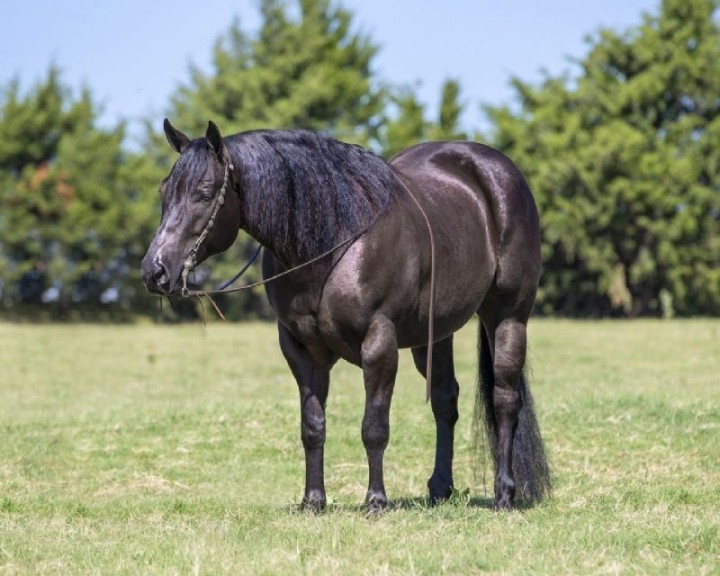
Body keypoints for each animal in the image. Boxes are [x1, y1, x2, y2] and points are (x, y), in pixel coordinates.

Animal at [141, 119, 551, 512]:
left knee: (504, 400)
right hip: (433, 335)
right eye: (164, 191)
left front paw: (376, 501)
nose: (154, 271)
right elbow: (312, 426)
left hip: (507, 317)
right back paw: (439, 489)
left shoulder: (379, 345)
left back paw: (504, 495)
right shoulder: (300, 350)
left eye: (205, 192)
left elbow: (374, 427)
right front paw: (313, 501)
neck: (333, 242)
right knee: (445, 399)